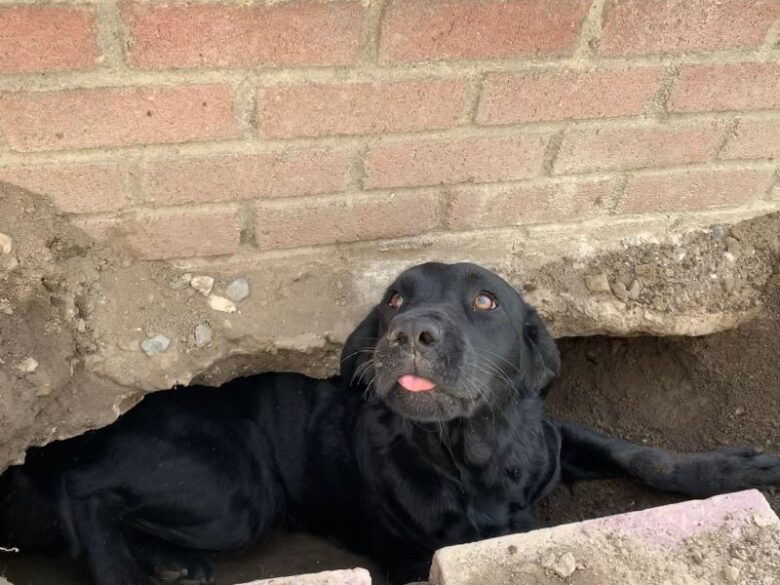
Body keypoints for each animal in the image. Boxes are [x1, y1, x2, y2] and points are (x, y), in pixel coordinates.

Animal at [1, 264, 780, 584]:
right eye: (395, 298)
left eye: (486, 302)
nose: (411, 332)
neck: (473, 454)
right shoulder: (410, 560)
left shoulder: (553, 437)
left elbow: (642, 453)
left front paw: (740, 466)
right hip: (237, 494)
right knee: (84, 491)